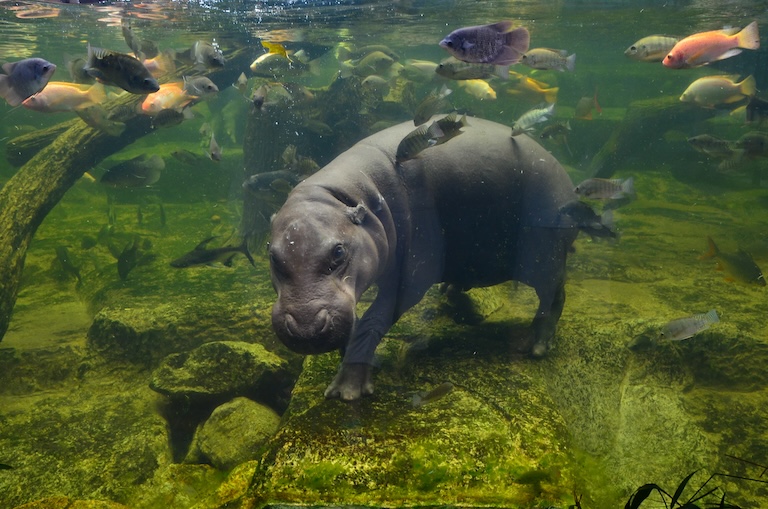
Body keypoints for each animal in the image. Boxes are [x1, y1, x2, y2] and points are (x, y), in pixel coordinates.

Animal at [269, 116, 594, 401]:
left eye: (338, 251)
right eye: (272, 255)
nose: (306, 327)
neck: (347, 195)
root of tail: (568, 182)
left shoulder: (411, 276)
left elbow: (373, 320)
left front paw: (346, 391)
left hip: (543, 254)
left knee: (554, 294)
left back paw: (535, 345)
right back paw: (451, 290)